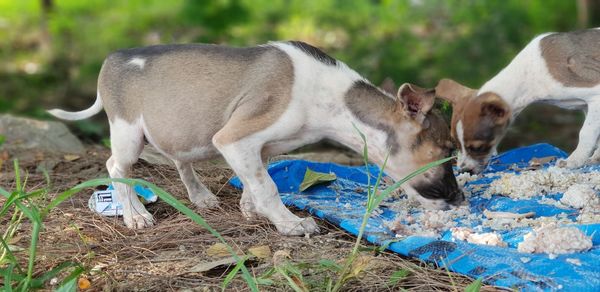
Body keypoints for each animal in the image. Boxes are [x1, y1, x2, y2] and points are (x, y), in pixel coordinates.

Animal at [51, 41, 464, 235]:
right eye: (446, 152)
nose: (460, 201)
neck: (333, 100)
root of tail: (111, 59)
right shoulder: (235, 138)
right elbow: (268, 186)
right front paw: (289, 223)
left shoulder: (259, 147)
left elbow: (256, 180)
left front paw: (251, 209)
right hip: (128, 133)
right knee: (116, 167)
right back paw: (135, 215)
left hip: (176, 128)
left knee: (179, 159)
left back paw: (200, 196)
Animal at [436, 28, 600, 173]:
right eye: (456, 144)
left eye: (478, 147)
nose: (465, 171)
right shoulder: (586, 106)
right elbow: (596, 135)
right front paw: (594, 158)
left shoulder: (595, 95)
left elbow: (586, 133)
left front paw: (574, 161)